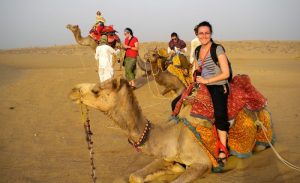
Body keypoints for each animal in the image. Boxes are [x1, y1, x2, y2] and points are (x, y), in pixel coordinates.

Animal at [68, 78, 272, 182]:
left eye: (96, 90)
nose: (72, 90)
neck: (173, 135)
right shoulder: (166, 155)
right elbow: (135, 176)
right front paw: (169, 170)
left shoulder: (202, 163)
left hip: (260, 139)